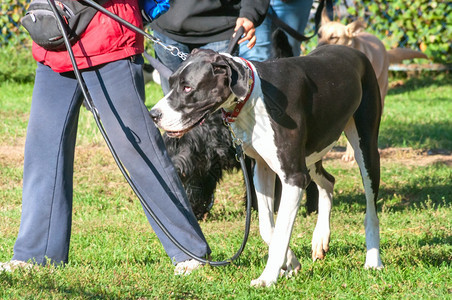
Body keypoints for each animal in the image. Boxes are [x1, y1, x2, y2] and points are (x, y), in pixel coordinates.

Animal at [150, 44, 384, 286]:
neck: (252, 96)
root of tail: (353, 50)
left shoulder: (293, 177)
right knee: (328, 181)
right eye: (172, 82)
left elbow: (281, 231)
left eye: (187, 87)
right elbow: (267, 227)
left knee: (371, 210)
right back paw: (320, 238)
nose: (153, 114)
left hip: (365, 148)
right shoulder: (262, 168)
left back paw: (373, 260)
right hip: (312, 153)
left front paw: (268, 277)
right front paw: (290, 262)